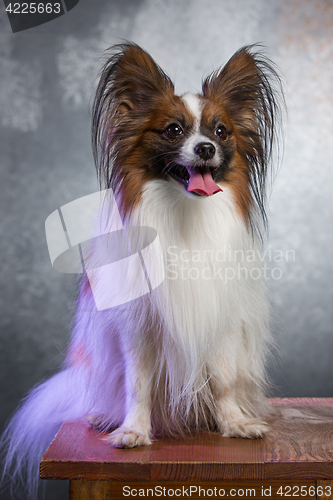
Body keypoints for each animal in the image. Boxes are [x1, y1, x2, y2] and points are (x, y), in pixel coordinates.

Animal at [1, 44, 282, 500]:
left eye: (221, 132)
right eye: (172, 130)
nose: (206, 148)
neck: (185, 214)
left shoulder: (221, 324)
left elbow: (222, 380)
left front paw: (234, 424)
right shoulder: (137, 326)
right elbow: (139, 384)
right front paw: (133, 431)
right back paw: (103, 416)